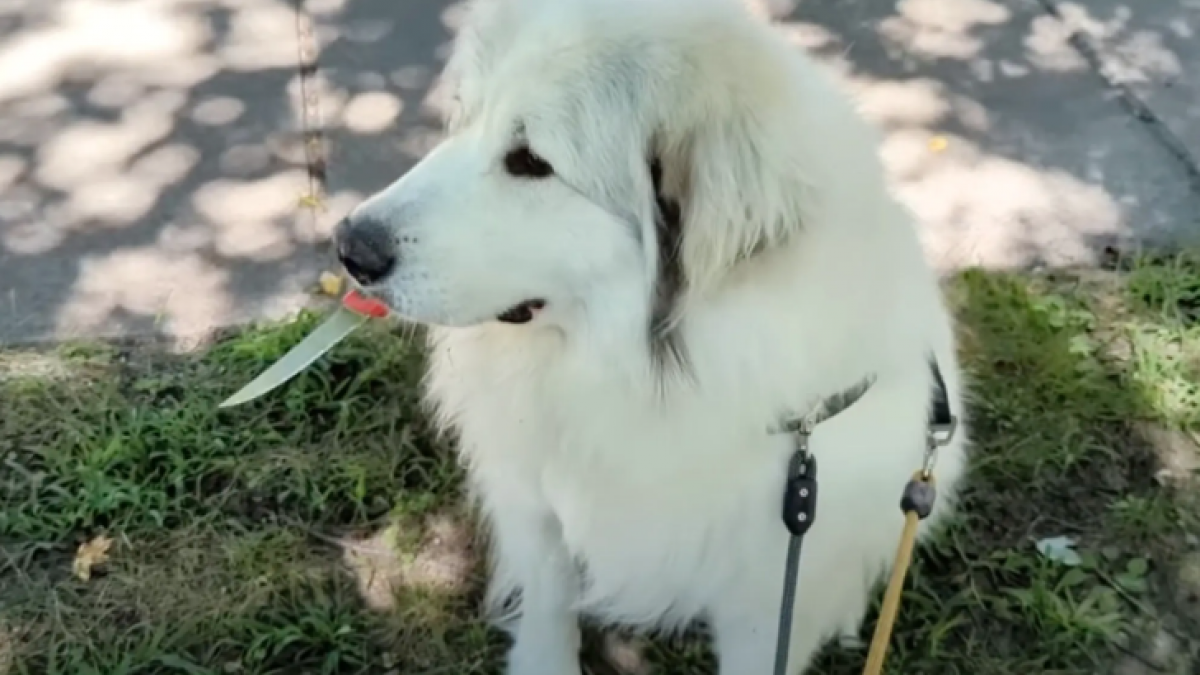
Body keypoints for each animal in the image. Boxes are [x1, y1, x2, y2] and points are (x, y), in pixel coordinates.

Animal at [333, 0, 969, 667]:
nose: (349, 248)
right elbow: (549, 597)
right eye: (466, 117)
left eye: (532, 163)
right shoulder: (533, 498)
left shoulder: (769, 597)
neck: (639, 383)